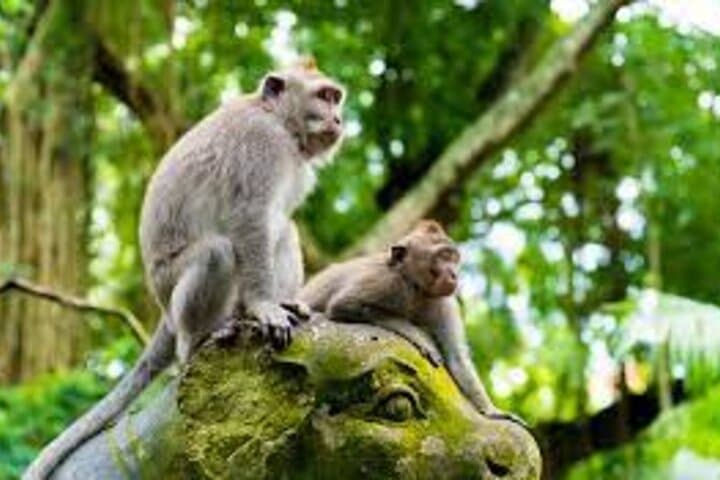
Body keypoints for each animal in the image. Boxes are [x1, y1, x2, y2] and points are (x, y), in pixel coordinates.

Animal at [23, 59, 345, 480]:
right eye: (323, 96)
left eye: (336, 97)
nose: (338, 118)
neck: (279, 122)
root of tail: (164, 311)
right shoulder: (261, 146)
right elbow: (249, 218)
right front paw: (264, 306)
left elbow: (274, 225)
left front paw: (279, 304)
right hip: (170, 284)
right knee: (217, 253)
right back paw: (197, 340)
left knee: (283, 231)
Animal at [300, 220, 522, 423]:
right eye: (442, 256)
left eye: (453, 258)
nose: (454, 274)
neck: (416, 288)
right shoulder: (385, 281)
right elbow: (343, 305)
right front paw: (420, 336)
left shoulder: (444, 303)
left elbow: (457, 358)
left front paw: (492, 410)